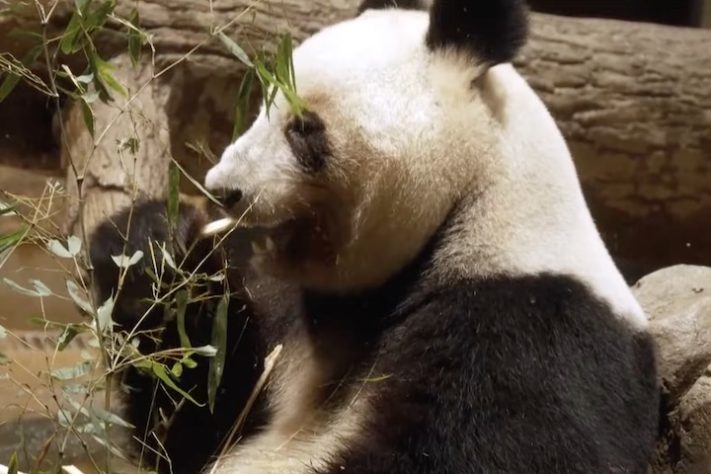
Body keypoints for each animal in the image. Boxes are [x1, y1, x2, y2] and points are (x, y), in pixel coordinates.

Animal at [89, 0, 660, 473]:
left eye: (303, 127)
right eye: (261, 105)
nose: (224, 189)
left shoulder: (530, 324)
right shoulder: (300, 324)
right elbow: (203, 417)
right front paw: (152, 249)